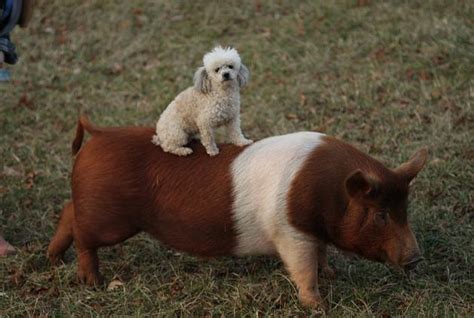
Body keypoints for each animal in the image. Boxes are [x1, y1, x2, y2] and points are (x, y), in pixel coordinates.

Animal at [46, 117, 428, 308]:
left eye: (405, 209)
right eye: (381, 215)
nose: (416, 258)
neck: (329, 193)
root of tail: (100, 134)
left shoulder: (312, 232)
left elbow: (320, 254)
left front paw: (332, 274)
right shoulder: (290, 232)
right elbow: (303, 269)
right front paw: (318, 306)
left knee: (67, 213)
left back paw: (53, 259)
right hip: (108, 220)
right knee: (83, 235)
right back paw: (92, 282)